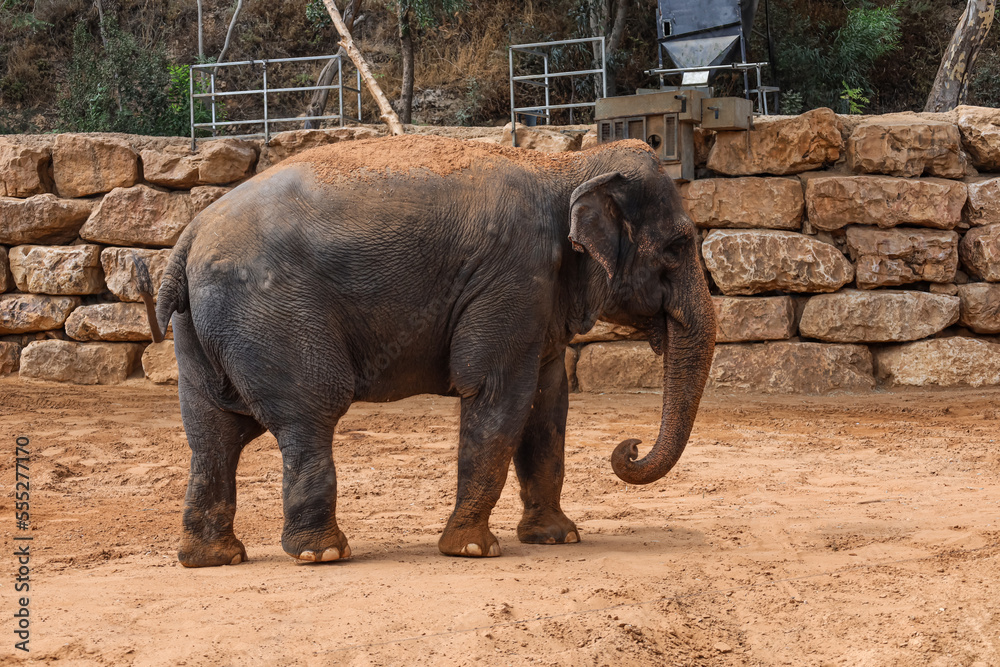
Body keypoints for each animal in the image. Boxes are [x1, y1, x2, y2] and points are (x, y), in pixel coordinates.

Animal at [137, 136, 716, 568]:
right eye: (679, 246)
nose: (629, 447)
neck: (566, 165)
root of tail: (188, 235)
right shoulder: (511, 275)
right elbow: (499, 393)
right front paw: (473, 550)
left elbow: (548, 405)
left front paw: (558, 538)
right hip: (272, 315)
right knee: (309, 413)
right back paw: (322, 553)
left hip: (203, 329)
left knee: (212, 433)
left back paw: (214, 558)